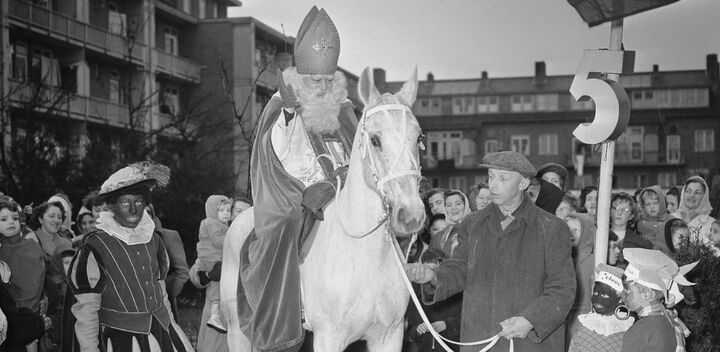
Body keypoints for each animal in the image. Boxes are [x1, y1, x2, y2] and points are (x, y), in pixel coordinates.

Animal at [222, 67, 424, 350]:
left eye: (419, 138)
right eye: (375, 140)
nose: (412, 215)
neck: (364, 254)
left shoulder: (389, 335)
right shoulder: (329, 336)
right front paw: (289, 106)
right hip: (238, 329)